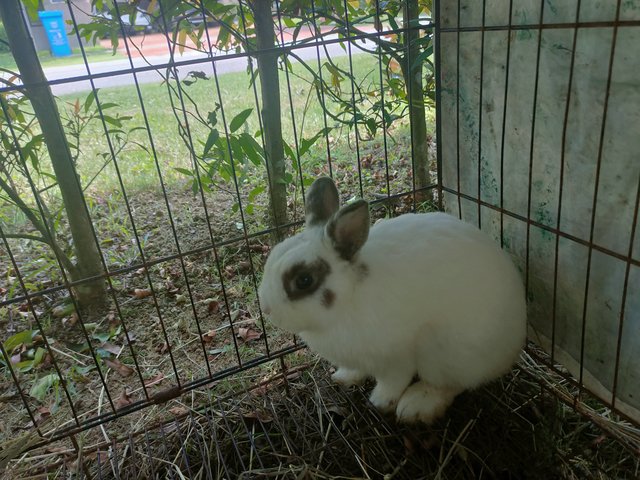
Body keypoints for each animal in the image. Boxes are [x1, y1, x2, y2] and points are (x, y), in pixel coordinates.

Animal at [258, 177, 528, 424]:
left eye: (304, 280)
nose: (267, 308)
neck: (350, 297)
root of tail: (514, 345)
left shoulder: (396, 357)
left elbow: (393, 381)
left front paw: (380, 401)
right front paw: (344, 378)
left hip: (443, 353)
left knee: (450, 384)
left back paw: (416, 406)